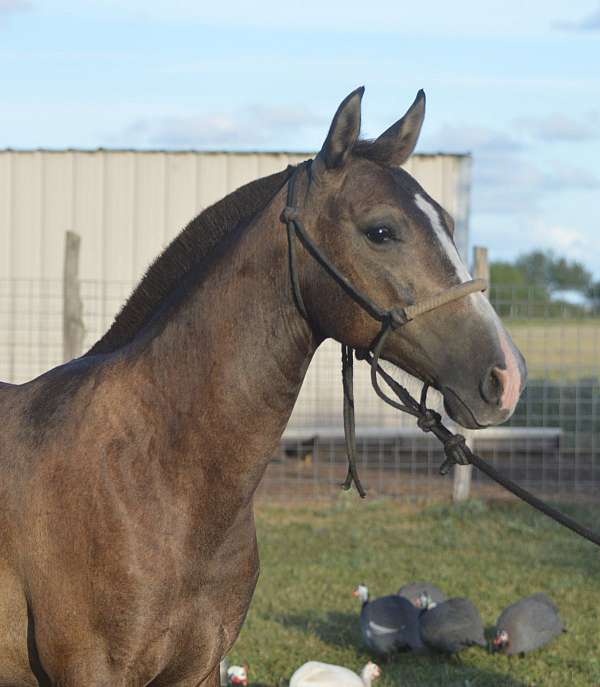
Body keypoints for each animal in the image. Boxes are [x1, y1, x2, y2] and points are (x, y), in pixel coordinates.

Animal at [0, 88, 524, 684]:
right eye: (381, 230)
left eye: (448, 224)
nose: (505, 376)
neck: (150, 475)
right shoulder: (93, 671)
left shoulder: (201, 668)